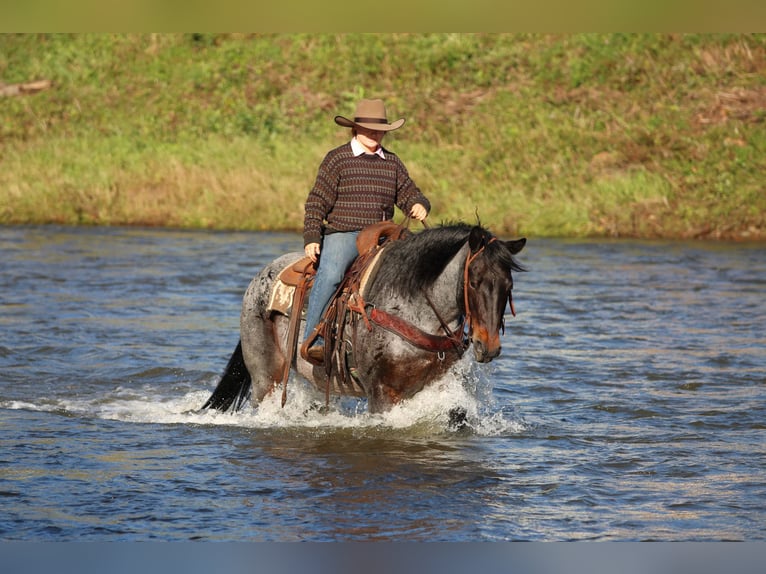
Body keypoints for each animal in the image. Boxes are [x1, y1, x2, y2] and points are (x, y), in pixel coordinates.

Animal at [201, 222, 526, 415]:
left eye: (508, 286)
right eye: (474, 282)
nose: (488, 347)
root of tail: (258, 279)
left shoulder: (438, 384)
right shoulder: (381, 392)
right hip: (264, 376)